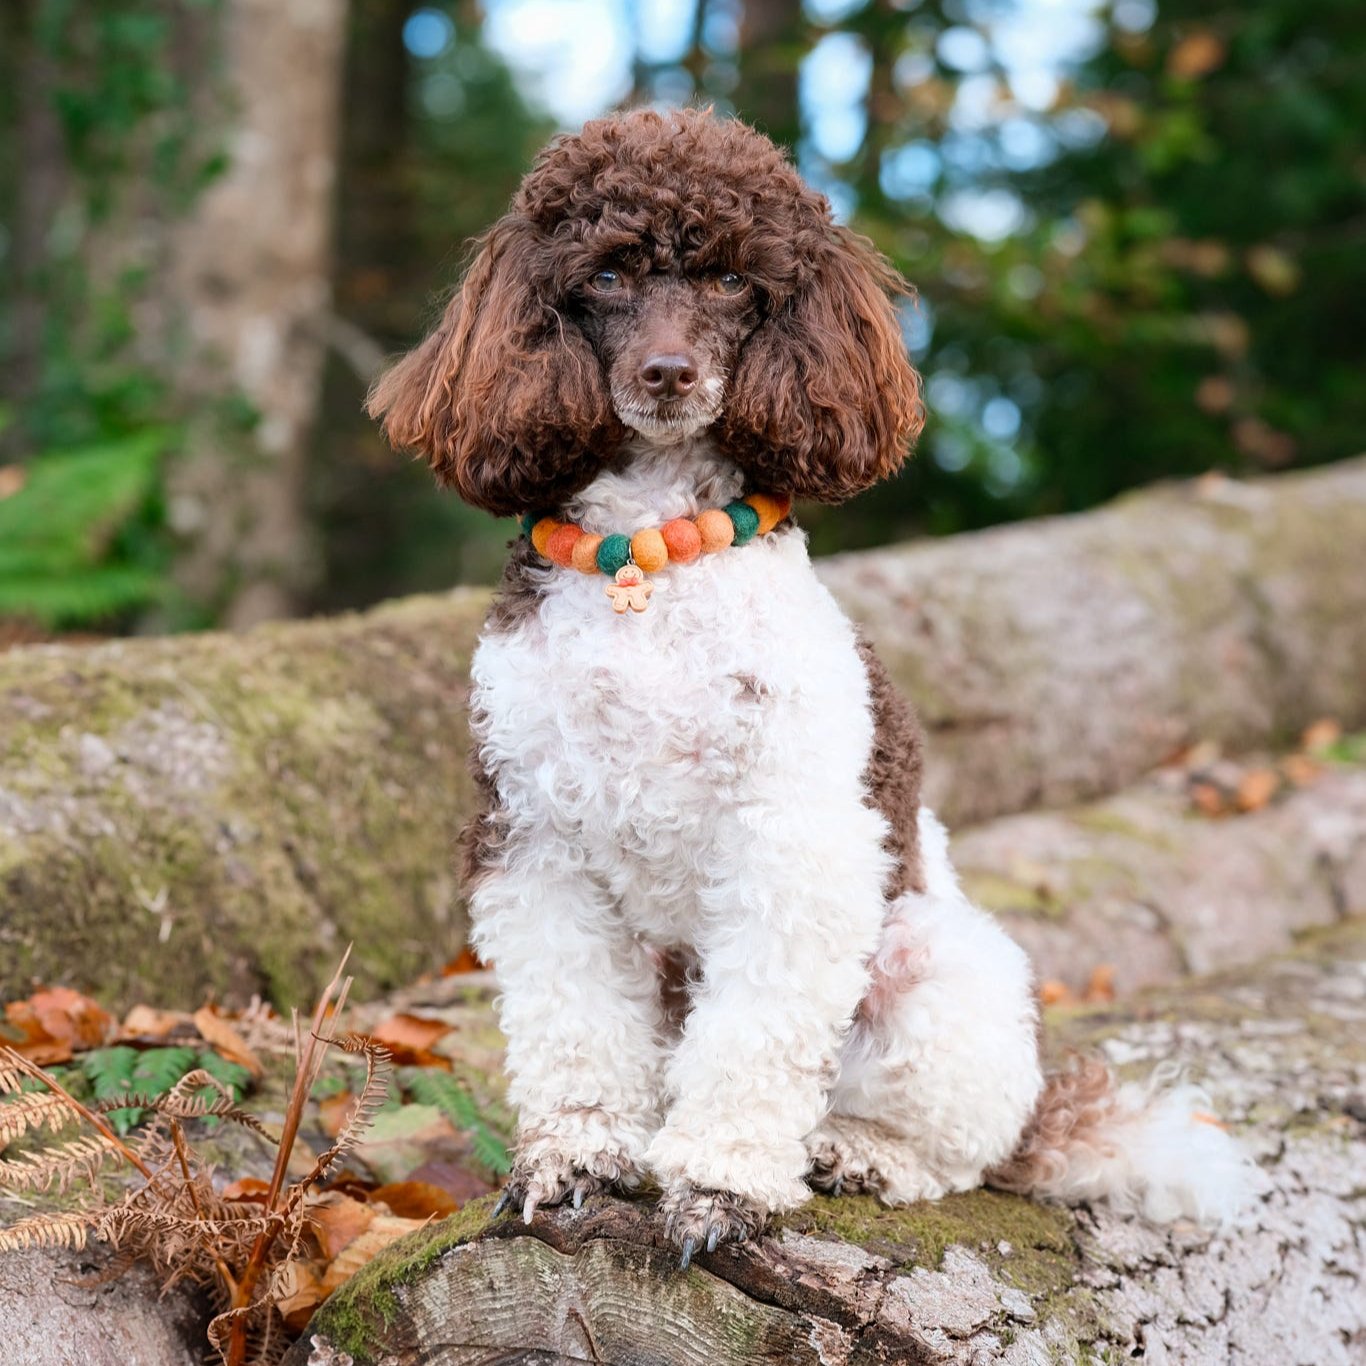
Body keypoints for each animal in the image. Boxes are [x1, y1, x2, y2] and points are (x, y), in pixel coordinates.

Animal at [368, 106, 1251, 1256]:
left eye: (734, 280)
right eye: (603, 275)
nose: (667, 372)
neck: (650, 561)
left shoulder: (791, 841)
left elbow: (756, 1036)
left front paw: (721, 1184)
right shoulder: (533, 837)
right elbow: (573, 1023)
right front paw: (576, 1156)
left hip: (935, 960)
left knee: (964, 1146)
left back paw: (858, 1152)